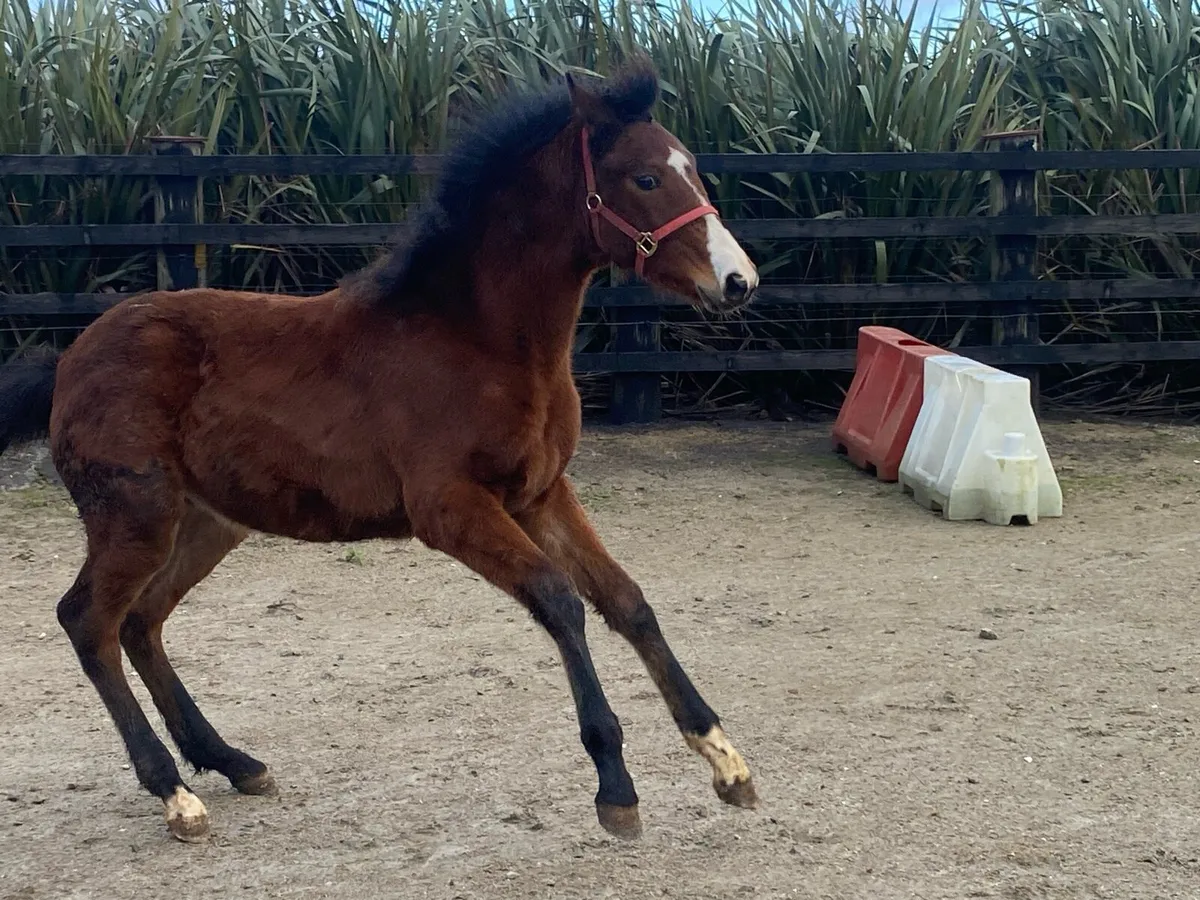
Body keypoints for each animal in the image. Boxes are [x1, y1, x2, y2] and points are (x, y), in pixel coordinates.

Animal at [0, 53, 760, 844]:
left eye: (691, 168)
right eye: (644, 178)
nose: (739, 281)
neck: (478, 341)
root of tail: (67, 360)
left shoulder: (543, 493)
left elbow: (626, 600)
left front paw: (725, 760)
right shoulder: (450, 509)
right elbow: (560, 601)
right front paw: (615, 786)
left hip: (206, 522)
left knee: (142, 622)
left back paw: (233, 761)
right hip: (136, 515)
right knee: (89, 622)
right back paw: (174, 792)